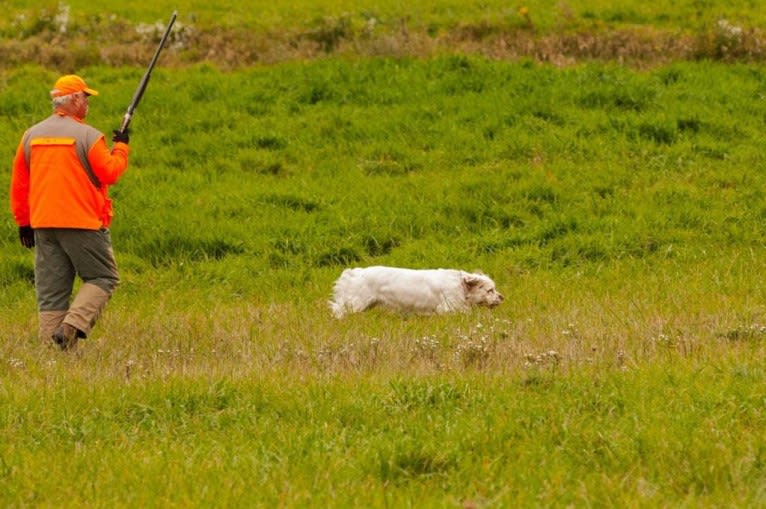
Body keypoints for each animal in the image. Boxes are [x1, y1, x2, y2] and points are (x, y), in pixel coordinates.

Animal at [330, 266, 504, 318]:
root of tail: (355, 272)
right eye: (490, 290)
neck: (460, 285)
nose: (502, 297)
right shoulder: (450, 308)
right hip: (354, 304)